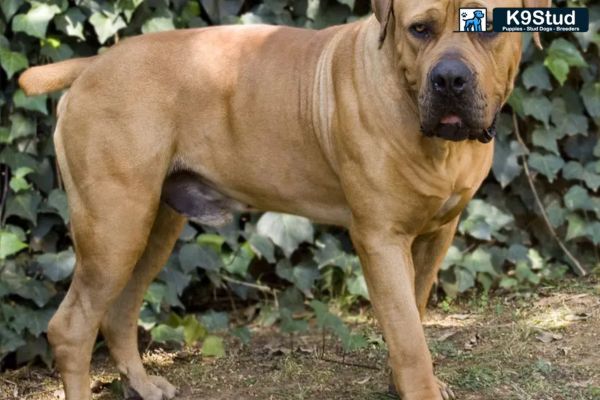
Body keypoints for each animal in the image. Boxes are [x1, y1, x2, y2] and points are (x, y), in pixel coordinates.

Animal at [19, 0, 548, 400]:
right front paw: (420, 389)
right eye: (420, 29)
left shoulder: (437, 234)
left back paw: (144, 385)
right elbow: (408, 335)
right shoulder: (380, 239)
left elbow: (413, 318)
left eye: (488, 28)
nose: (450, 80)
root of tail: (94, 64)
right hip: (114, 227)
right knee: (71, 327)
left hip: (152, 227)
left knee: (118, 312)